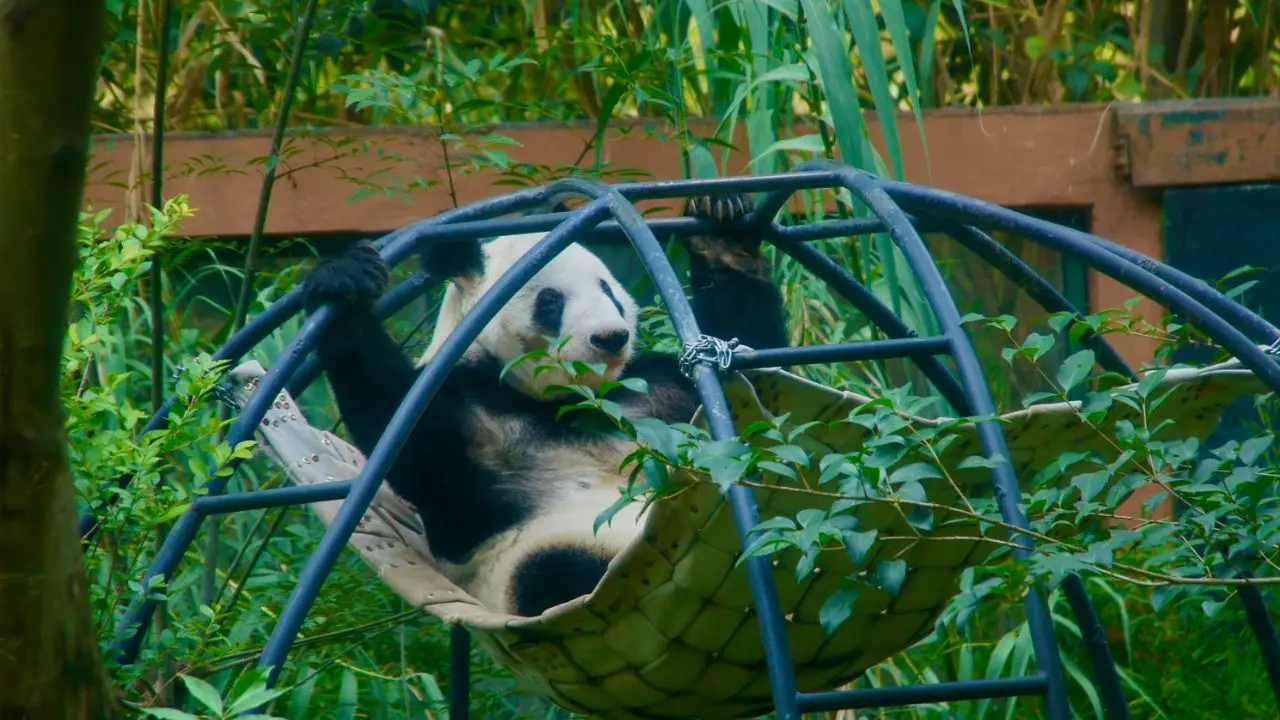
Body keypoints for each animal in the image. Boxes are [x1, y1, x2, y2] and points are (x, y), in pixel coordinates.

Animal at [300, 192, 790, 617]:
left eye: (608, 291)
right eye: (551, 301)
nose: (611, 337)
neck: (562, 401)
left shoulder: (654, 390)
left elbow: (761, 374)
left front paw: (722, 228)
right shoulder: (461, 410)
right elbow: (404, 442)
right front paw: (344, 286)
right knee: (558, 573)